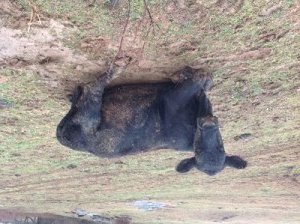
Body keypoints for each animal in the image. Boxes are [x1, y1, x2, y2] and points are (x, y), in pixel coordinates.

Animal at [55, 66, 246, 175]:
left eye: (221, 148)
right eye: (198, 150)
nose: (208, 124)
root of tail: (62, 136)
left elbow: (200, 81)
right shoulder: (174, 96)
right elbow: (200, 80)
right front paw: (185, 74)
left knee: (89, 89)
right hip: (88, 115)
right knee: (91, 88)